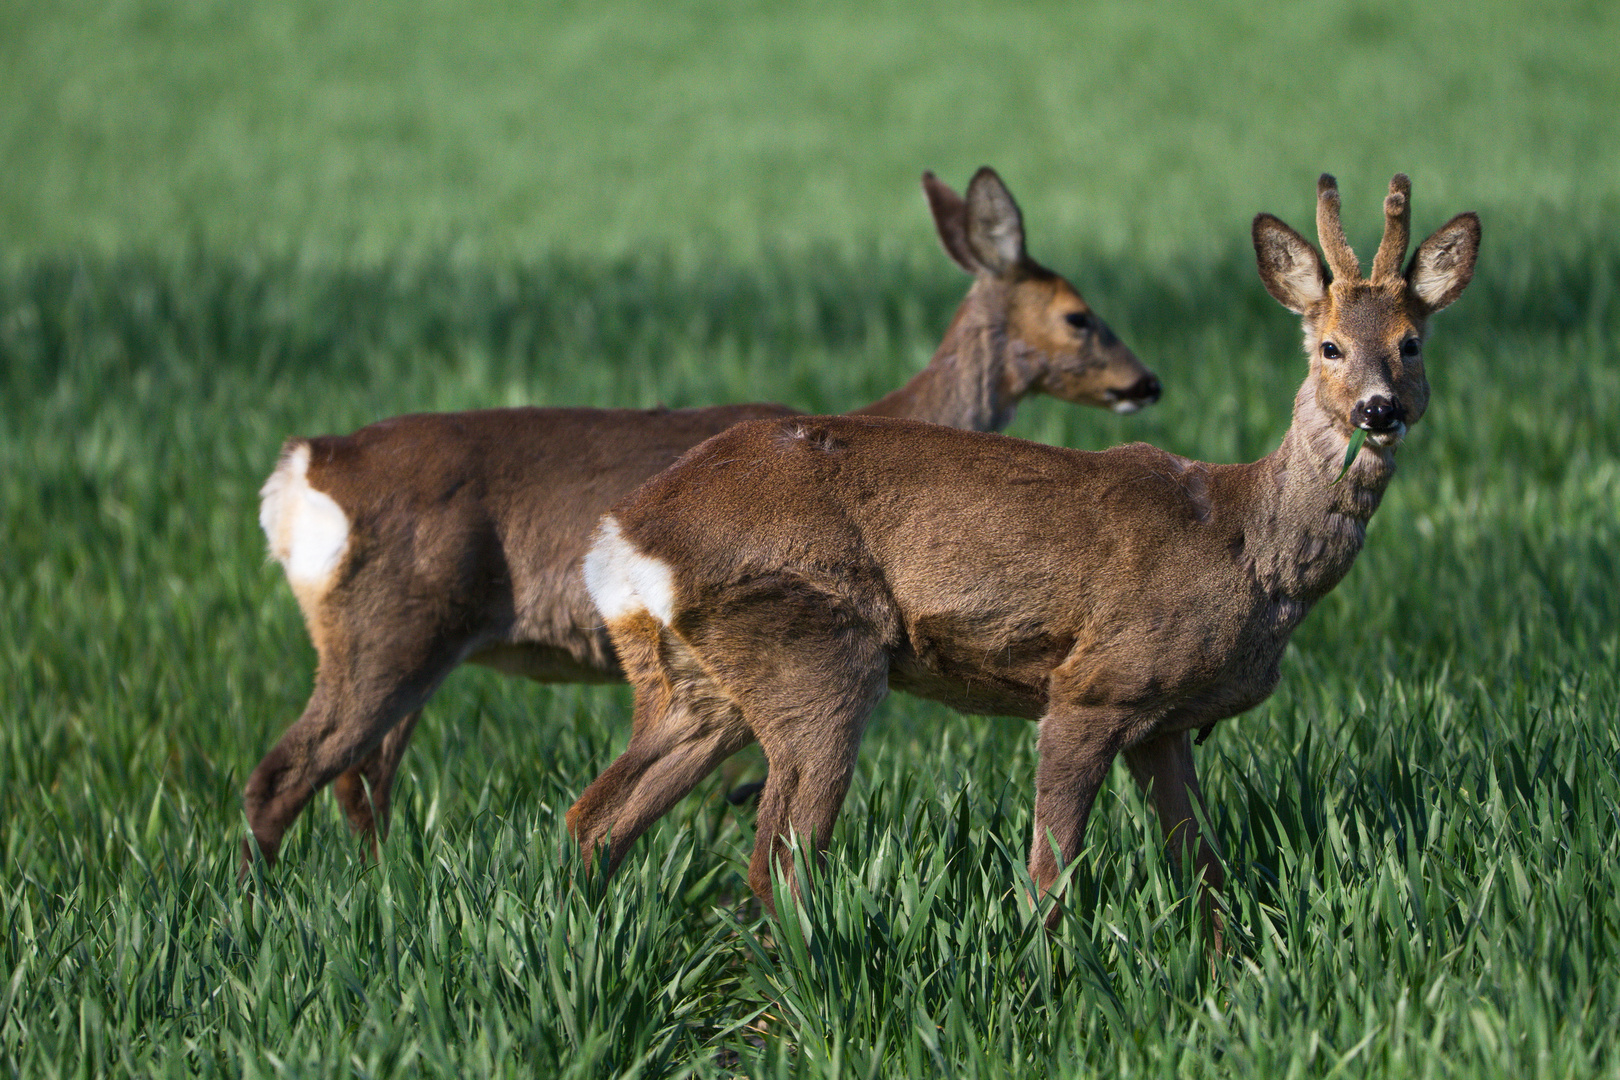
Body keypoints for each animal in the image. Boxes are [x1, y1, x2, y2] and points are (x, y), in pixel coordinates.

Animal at [239, 170, 1159, 880]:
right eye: (1079, 315)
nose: (1145, 380)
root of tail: (302, 467)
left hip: (409, 643)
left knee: (360, 779)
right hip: (391, 626)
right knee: (287, 773)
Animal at [570, 175, 1483, 932]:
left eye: (1412, 342)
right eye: (1328, 345)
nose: (1377, 410)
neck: (1249, 545)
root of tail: (627, 534)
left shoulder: (1167, 720)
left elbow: (1203, 868)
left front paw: (1229, 965)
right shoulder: (1096, 686)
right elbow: (1050, 875)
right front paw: (1058, 982)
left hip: (695, 685)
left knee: (596, 819)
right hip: (814, 651)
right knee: (778, 862)